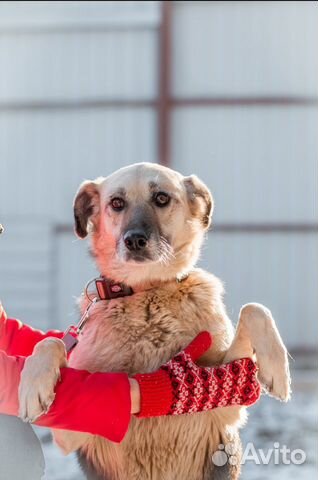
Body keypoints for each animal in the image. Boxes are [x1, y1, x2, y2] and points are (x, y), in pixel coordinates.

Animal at [18, 163, 290, 478]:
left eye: (161, 198)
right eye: (117, 203)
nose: (135, 240)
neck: (146, 295)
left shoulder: (228, 405)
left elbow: (254, 308)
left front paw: (277, 370)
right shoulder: (71, 434)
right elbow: (52, 342)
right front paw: (32, 386)